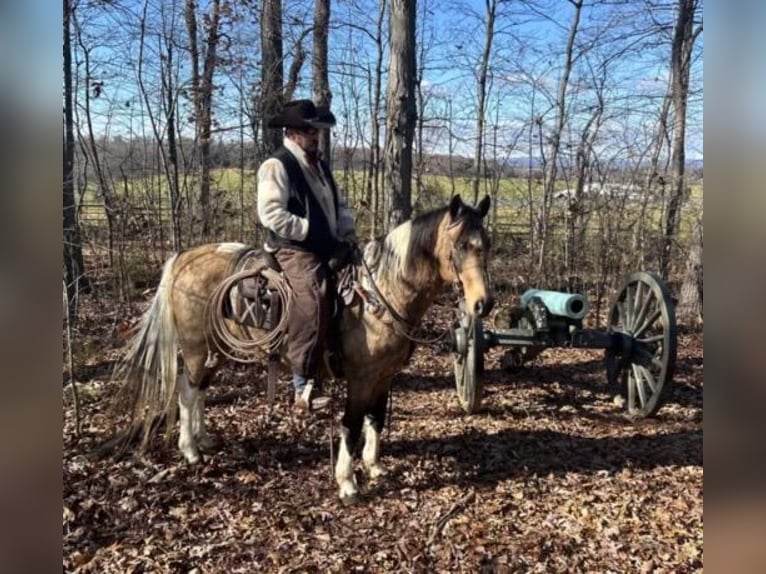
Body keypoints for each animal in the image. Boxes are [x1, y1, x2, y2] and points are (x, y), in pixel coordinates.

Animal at [117, 195, 496, 504]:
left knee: (199, 390)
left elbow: (375, 418)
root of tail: (184, 257)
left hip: (217, 349)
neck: (379, 294)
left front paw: (374, 466)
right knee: (187, 390)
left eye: (486, 244)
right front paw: (347, 482)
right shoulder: (360, 379)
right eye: (460, 245)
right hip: (196, 348)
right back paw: (191, 450)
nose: (483, 304)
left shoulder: (384, 377)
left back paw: (204, 439)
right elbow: (351, 424)